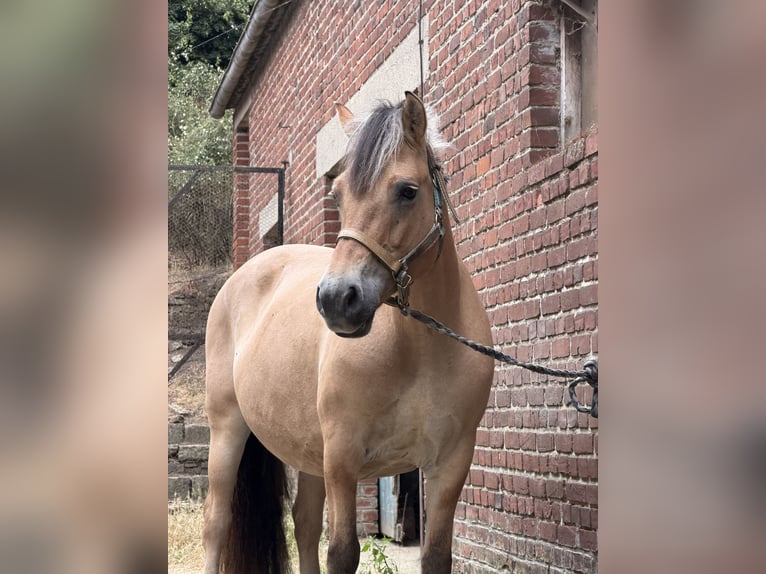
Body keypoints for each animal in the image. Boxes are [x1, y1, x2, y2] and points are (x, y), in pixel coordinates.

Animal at [202, 92, 494, 574]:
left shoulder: (451, 463)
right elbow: (341, 553)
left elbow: (436, 555)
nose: (337, 299)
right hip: (227, 429)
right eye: (337, 195)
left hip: (307, 450)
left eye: (407, 191)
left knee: (303, 523)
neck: (419, 350)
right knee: (217, 522)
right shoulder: (341, 455)